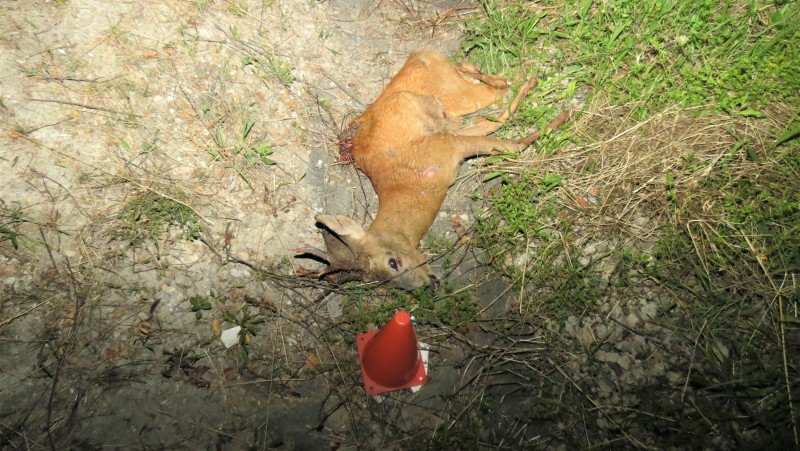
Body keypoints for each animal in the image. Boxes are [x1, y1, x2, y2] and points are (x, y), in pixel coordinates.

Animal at [300, 49, 568, 290]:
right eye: (384, 282)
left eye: (393, 262)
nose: (430, 285)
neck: (414, 187)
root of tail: (420, 54)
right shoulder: (450, 143)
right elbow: (493, 127)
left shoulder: (446, 146)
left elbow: (512, 143)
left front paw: (560, 118)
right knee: (494, 88)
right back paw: (489, 69)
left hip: (458, 96)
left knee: (500, 90)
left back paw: (530, 79)